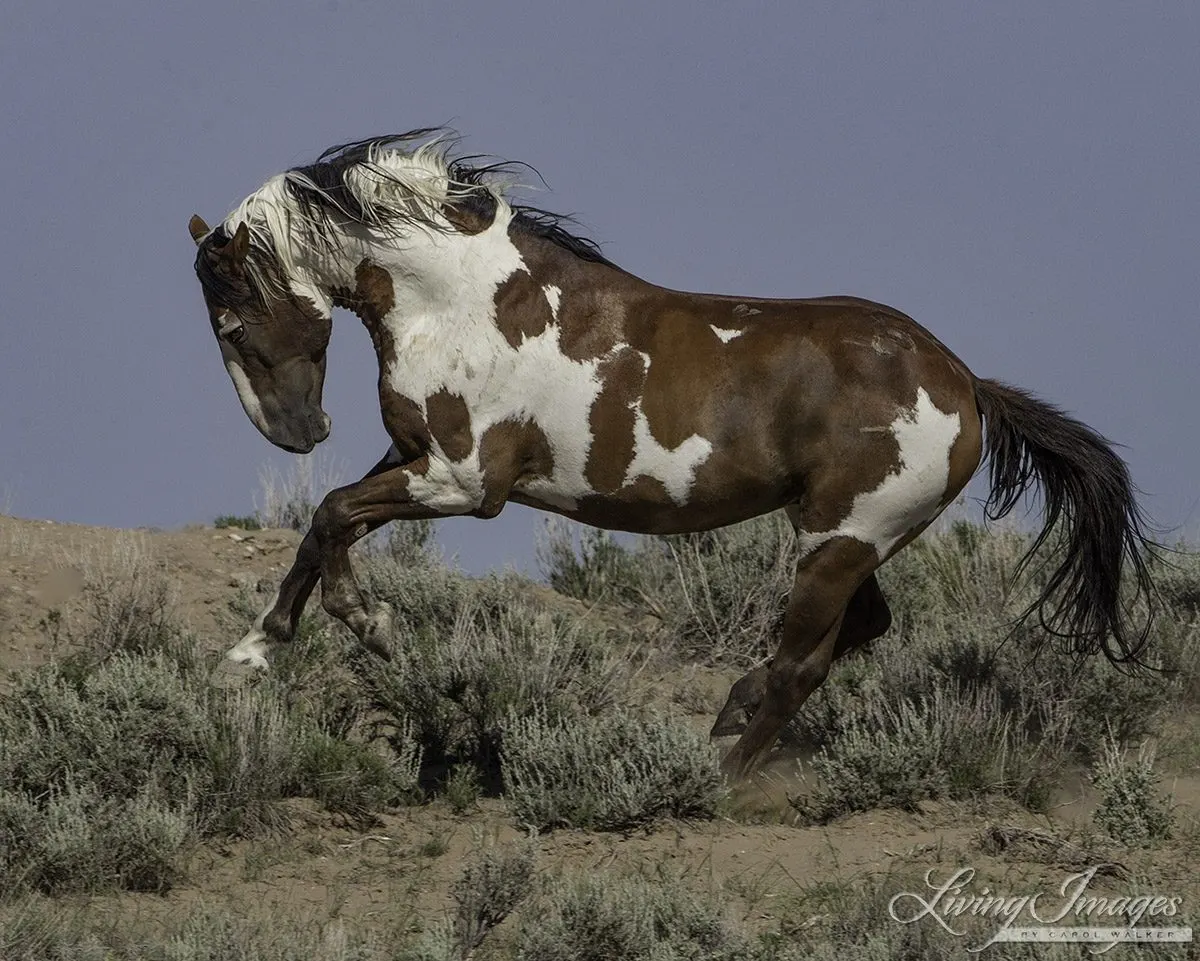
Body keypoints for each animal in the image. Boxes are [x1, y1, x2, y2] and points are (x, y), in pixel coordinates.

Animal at [187, 128, 1155, 779]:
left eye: (231, 322)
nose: (295, 432)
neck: (463, 302)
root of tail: (965, 385)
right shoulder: (415, 454)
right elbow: (328, 527)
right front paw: (267, 648)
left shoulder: (463, 480)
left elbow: (332, 513)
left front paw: (353, 629)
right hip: (848, 537)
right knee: (859, 630)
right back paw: (732, 711)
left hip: (841, 538)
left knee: (805, 661)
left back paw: (721, 776)